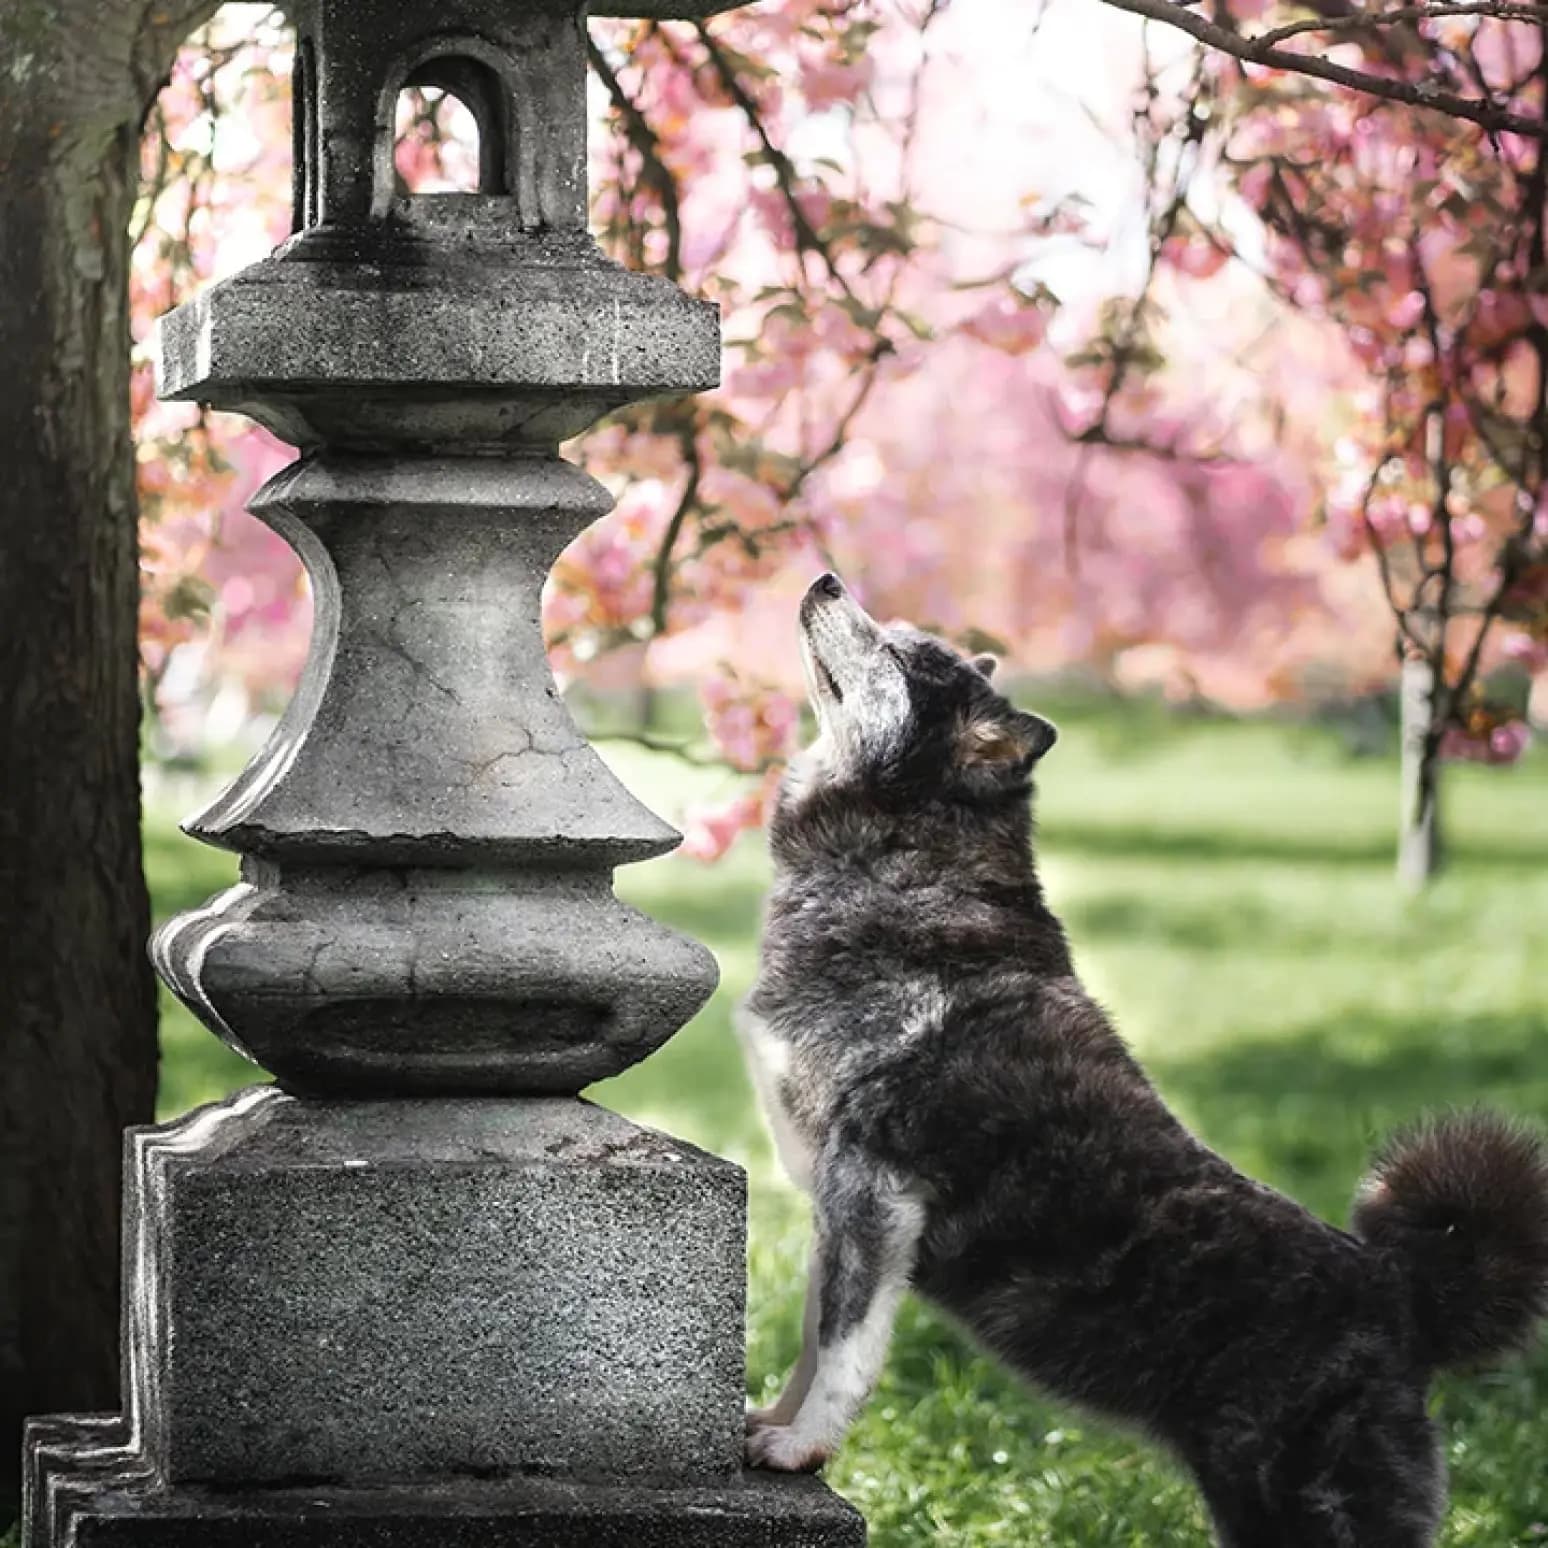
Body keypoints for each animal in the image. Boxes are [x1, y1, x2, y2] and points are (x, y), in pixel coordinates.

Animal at [736, 575, 1548, 1548]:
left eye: (898, 652)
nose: (825, 580)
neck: (905, 861)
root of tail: (1402, 1294)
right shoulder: (836, 1206)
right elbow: (812, 1338)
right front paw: (775, 1425)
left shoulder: (874, 1192)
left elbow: (845, 1348)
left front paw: (804, 1448)